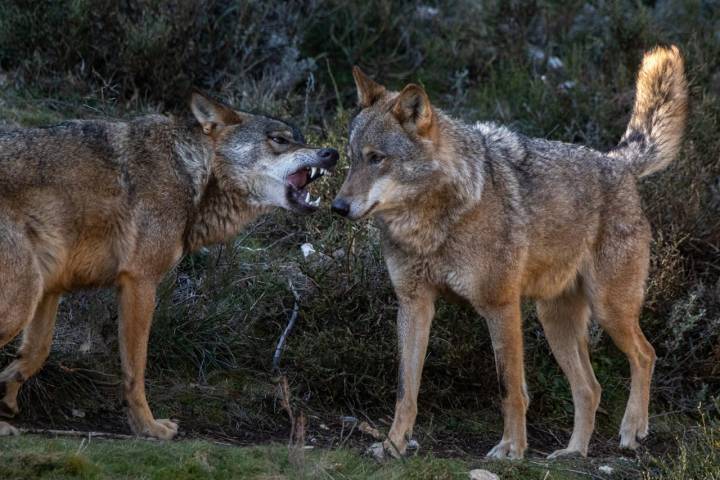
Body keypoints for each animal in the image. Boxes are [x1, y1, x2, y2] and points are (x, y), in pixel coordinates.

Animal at [0, 90, 338, 438]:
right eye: (280, 139)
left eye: (299, 137)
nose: (332, 153)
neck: (191, 171)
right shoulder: (140, 281)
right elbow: (135, 369)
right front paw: (147, 427)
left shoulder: (52, 287)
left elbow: (36, 352)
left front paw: (8, 394)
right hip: (20, 301)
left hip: (29, 293)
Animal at [334, 47, 688, 460]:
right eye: (351, 157)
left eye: (377, 158)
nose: (338, 207)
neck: (432, 225)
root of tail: (617, 161)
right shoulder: (413, 303)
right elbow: (406, 390)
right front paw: (393, 445)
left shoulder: (500, 305)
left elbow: (510, 388)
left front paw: (511, 449)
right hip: (554, 321)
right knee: (591, 388)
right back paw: (573, 452)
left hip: (609, 310)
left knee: (645, 355)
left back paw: (632, 430)